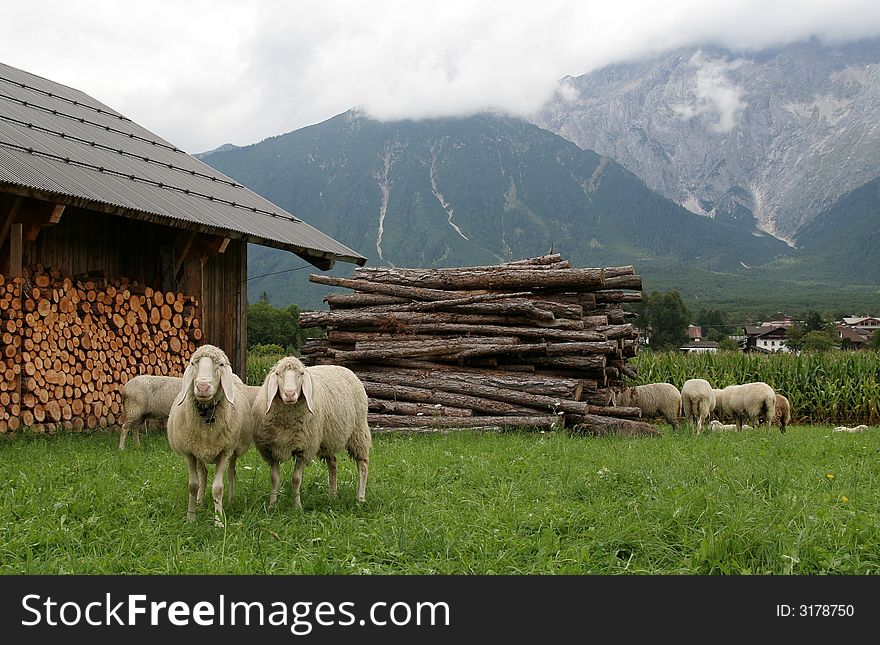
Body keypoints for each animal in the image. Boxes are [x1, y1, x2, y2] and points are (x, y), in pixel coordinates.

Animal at [167, 344, 253, 524]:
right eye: (193, 363)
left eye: (220, 364)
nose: (202, 387)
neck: (207, 413)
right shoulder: (189, 453)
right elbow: (193, 485)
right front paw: (191, 517)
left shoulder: (224, 452)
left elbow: (218, 488)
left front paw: (219, 521)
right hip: (199, 450)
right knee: (203, 474)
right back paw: (200, 502)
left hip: (233, 451)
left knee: (231, 472)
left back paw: (231, 499)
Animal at [251, 354, 372, 510]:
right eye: (277, 374)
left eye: (301, 373)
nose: (290, 394)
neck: (286, 422)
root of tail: (343, 367)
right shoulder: (271, 450)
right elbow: (274, 478)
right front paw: (272, 505)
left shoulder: (303, 448)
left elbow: (296, 479)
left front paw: (297, 507)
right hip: (327, 439)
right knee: (333, 462)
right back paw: (332, 496)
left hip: (358, 431)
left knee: (362, 464)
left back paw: (360, 498)